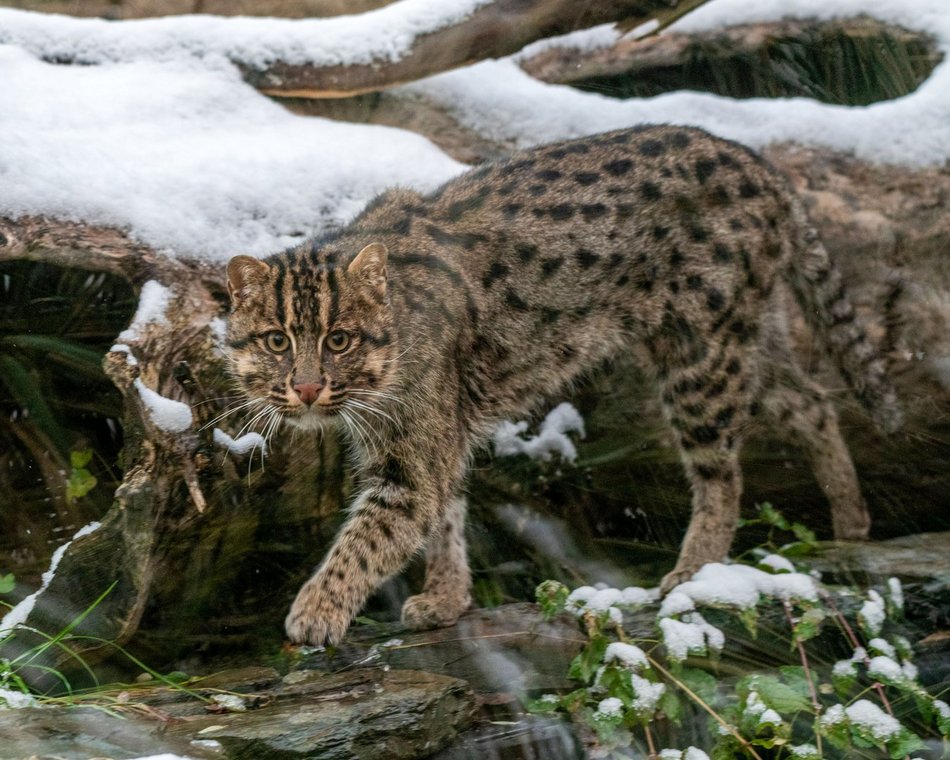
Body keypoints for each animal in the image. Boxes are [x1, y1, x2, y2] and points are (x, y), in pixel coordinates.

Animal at [225, 126, 900, 648]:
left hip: (702, 355)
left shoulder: (414, 457)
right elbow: (446, 518)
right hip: (744, 340)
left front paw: (316, 612)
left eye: (339, 340)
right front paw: (446, 600)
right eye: (277, 341)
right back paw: (851, 523)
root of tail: (760, 164)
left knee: (722, 475)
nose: (307, 390)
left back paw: (693, 574)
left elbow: (371, 537)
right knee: (812, 401)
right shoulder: (435, 439)